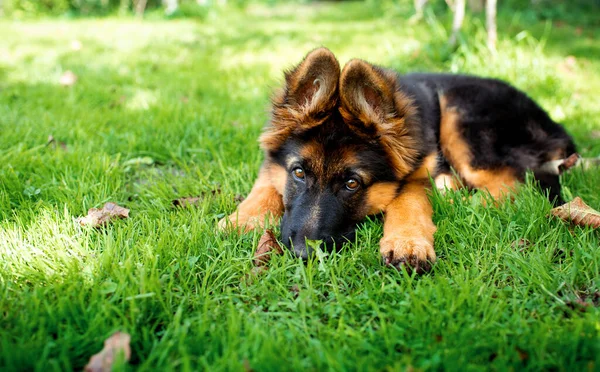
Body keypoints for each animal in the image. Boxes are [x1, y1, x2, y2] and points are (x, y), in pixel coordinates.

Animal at [218, 47, 576, 274]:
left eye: (352, 183)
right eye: (298, 173)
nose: (302, 255)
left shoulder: (419, 172)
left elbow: (408, 199)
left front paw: (407, 243)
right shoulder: (273, 162)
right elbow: (265, 183)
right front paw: (242, 219)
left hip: (462, 115)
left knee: (518, 185)